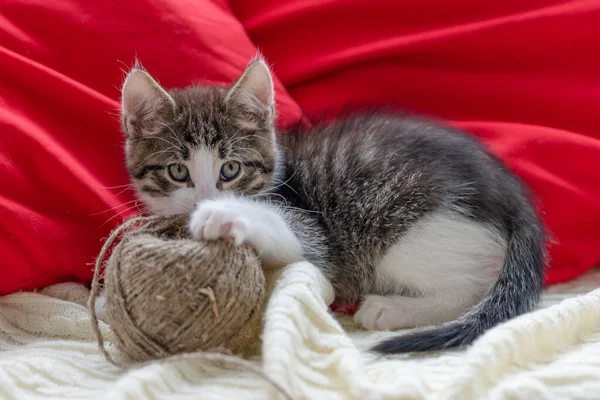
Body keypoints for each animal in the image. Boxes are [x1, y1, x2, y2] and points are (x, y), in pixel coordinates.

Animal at [117, 57, 544, 354]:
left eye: (231, 169)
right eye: (178, 171)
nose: (206, 199)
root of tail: (512, 195)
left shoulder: (312, 233)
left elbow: (290, 237)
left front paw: (223, 214)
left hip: (408, 229)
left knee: (469, 287)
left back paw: (388, 309)